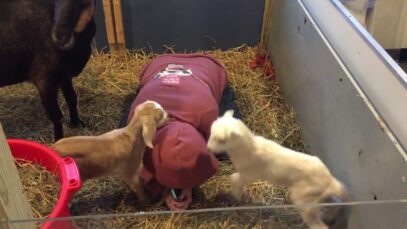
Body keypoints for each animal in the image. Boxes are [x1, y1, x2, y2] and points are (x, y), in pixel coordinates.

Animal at [0, 0, 97, 140]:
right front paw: (59, 140)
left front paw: (76, 123)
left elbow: (71, 98)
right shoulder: (44, 78)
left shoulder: (64, 75)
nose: (60, 36)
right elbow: (57, 116)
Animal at [209, 110, 352, 229]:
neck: (248, 149)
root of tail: (329, 179)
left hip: (302, 199)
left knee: (318, 224)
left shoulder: (249, 174)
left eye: (221, 140)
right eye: (210, 132)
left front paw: (235, 196)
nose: (209, 148)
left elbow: (233, 178)